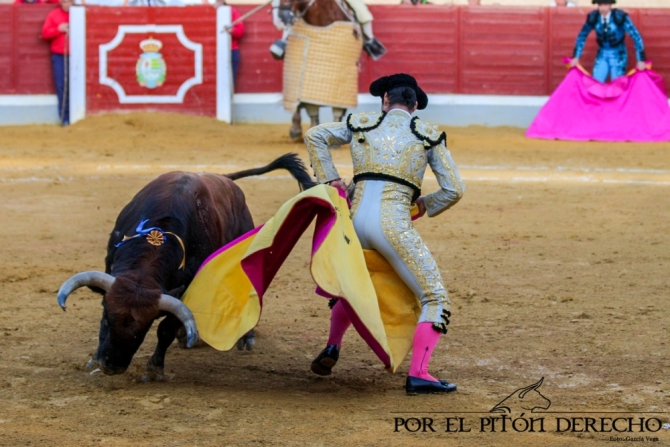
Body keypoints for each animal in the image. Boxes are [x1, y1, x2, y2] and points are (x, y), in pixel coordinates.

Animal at [57, 155, 316, 382]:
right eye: (106, 319)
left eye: (142, 329)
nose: (111, 366)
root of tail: (225, 179)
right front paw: (93, 359)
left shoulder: (186, 288)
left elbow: (166, 329)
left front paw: (154, 370)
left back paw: (246, 337)